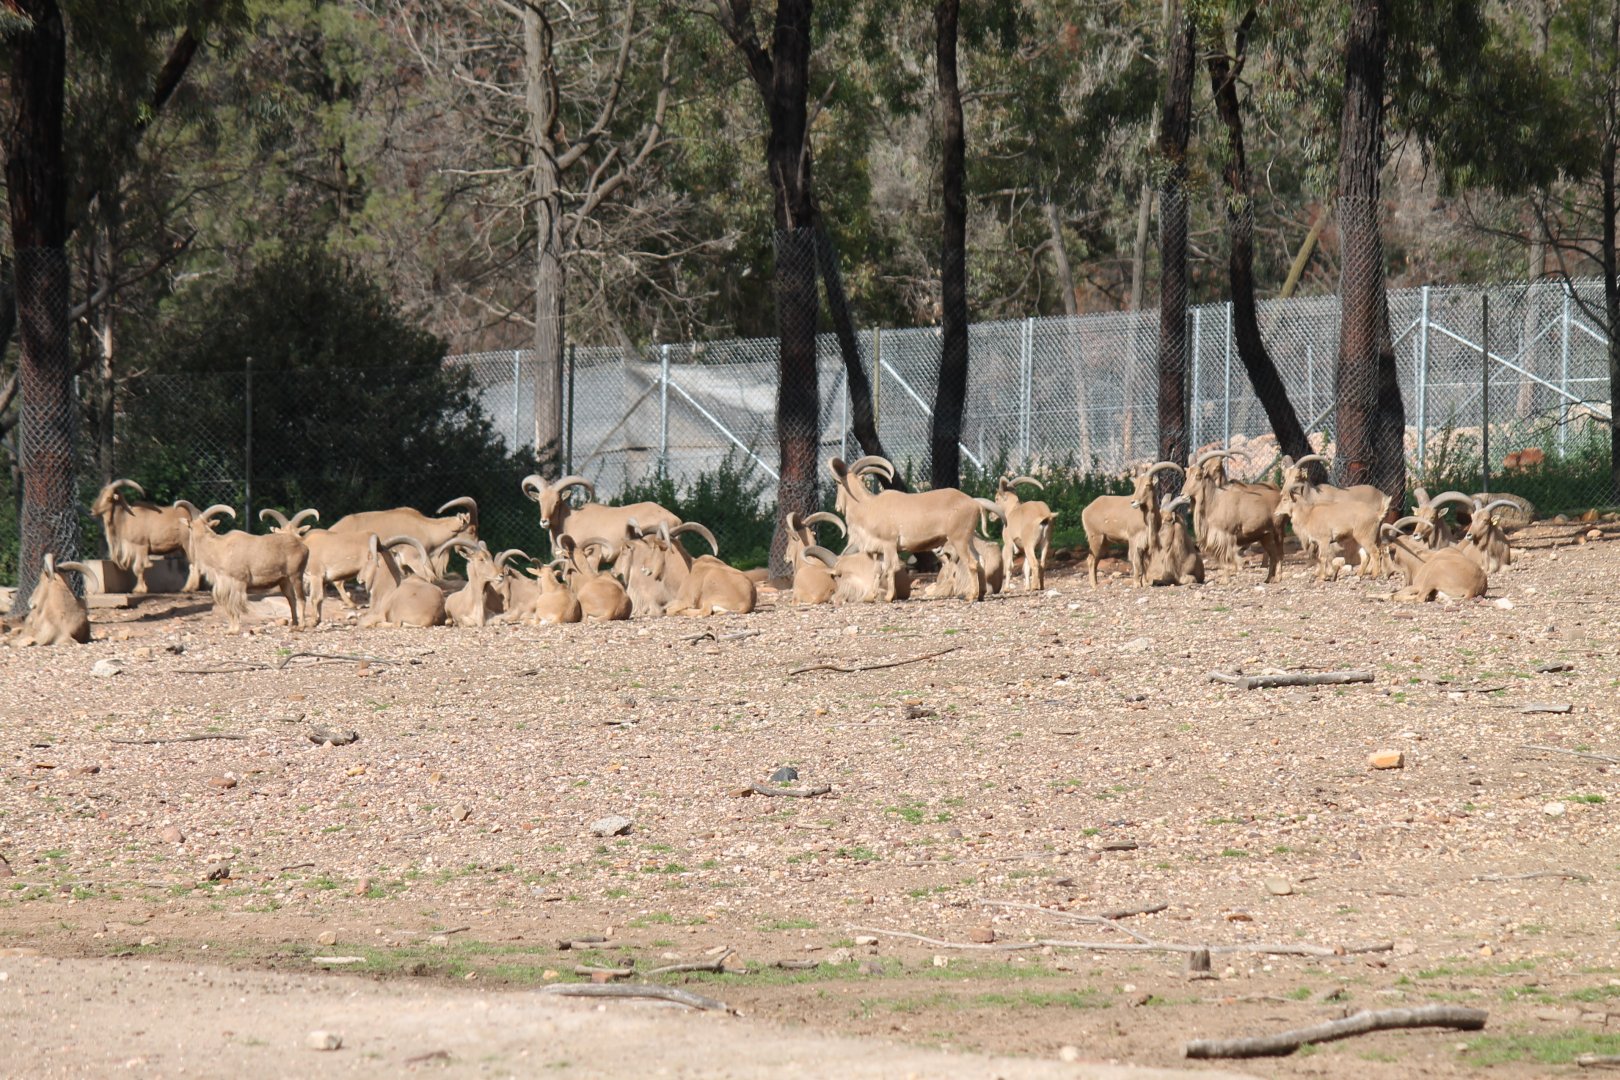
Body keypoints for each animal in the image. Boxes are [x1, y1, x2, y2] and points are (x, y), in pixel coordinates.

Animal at [185, 504, 309, 633]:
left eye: (189, 527)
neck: (219, 548)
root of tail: (303, 547)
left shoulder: (239, 581)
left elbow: (235, 605)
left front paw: (235, 629)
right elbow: (229, 606)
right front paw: (230, 629)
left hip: (296, 576)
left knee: (301, 599)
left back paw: (301, 626)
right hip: (285, 581)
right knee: (291, 599)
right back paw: (294, 624)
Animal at [826, 455, 1001, 601]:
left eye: (838, 483)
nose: (836, 506)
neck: (868, 506)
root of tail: (975, 504)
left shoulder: (889, 544)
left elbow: (890, 568)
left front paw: (889, 597)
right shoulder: (879, 550)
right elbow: (877, 570)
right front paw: (870, 597)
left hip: (959, 540)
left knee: (972, 562)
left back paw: (971, 596)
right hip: (968, 539)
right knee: (980, 560)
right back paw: (981, 594)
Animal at [1080, 461, 1182, 589]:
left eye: (1147, 484)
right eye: (1135, 485)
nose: (1133, 502)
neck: (1147, 519)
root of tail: (1086, 510)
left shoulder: (1146, 542)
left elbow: (1144, 562)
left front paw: (1145, 583)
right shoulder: (1134, 538)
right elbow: (1136, 560)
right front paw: (1137, 584)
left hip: (1104, 541)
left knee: (1096, 559)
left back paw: (1096, 583)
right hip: (1095, 537)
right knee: (1091, 559)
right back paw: (1094, 585)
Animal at [1180, 451, 1284, 583]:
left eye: (1198, 475)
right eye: (1187, 474)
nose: (1182, 494)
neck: (1215, 501)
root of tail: (1280, 496)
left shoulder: (1226, 535)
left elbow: (1225, 557)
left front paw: (1225, 580)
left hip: (1278, 530)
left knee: (1279, 553)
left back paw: (1278, 577)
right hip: (1265, 535)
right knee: (1273, 554)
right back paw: (1268, 578)